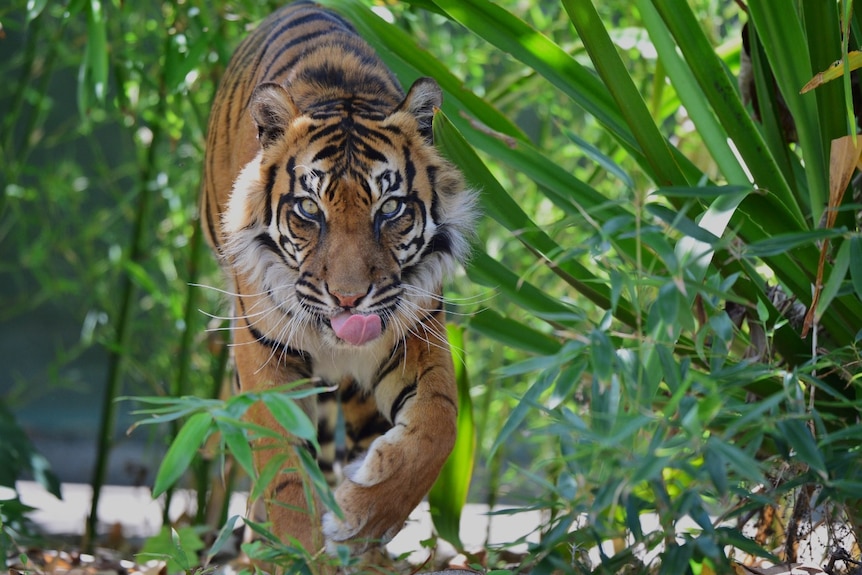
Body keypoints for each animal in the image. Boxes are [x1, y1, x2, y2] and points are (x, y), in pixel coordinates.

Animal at [197, 0, 480, 568]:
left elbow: (437, 426)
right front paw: (297, 552)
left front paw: (357, 520)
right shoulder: (264, 348)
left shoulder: (413, 333)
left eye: (389, 209)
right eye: (310, 209)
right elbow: (283, 467)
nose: (349, 299)